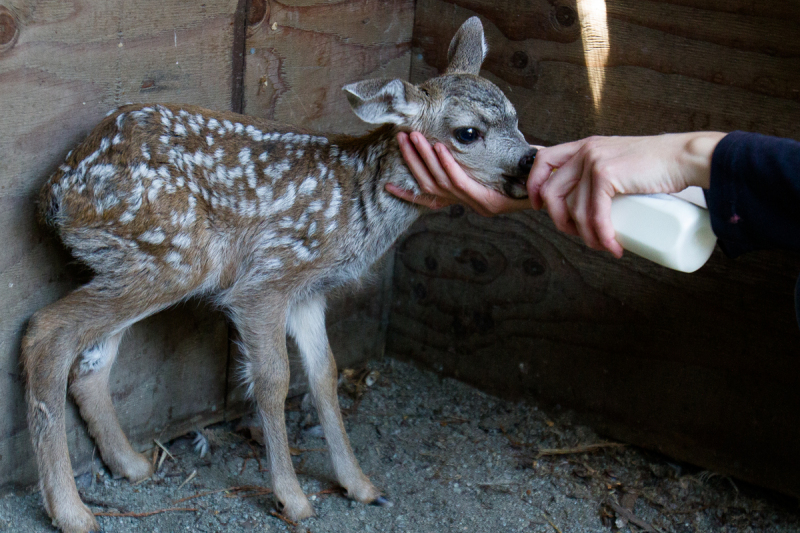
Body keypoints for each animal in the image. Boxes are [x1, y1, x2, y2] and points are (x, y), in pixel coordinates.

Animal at [21, 16, 536, 533]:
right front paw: (293, 499)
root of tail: (56, 189)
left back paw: (131, 465)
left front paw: (360, 485)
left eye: (515, 115)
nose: (530, 159)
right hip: (173, 253)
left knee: (89, 363)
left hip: (136, 261)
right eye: (467, 133)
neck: (359, 204)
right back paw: (71, 511)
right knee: (47, 333)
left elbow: (325, 375)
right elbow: (274, 380)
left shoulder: (309, 293)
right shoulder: (268, 278)